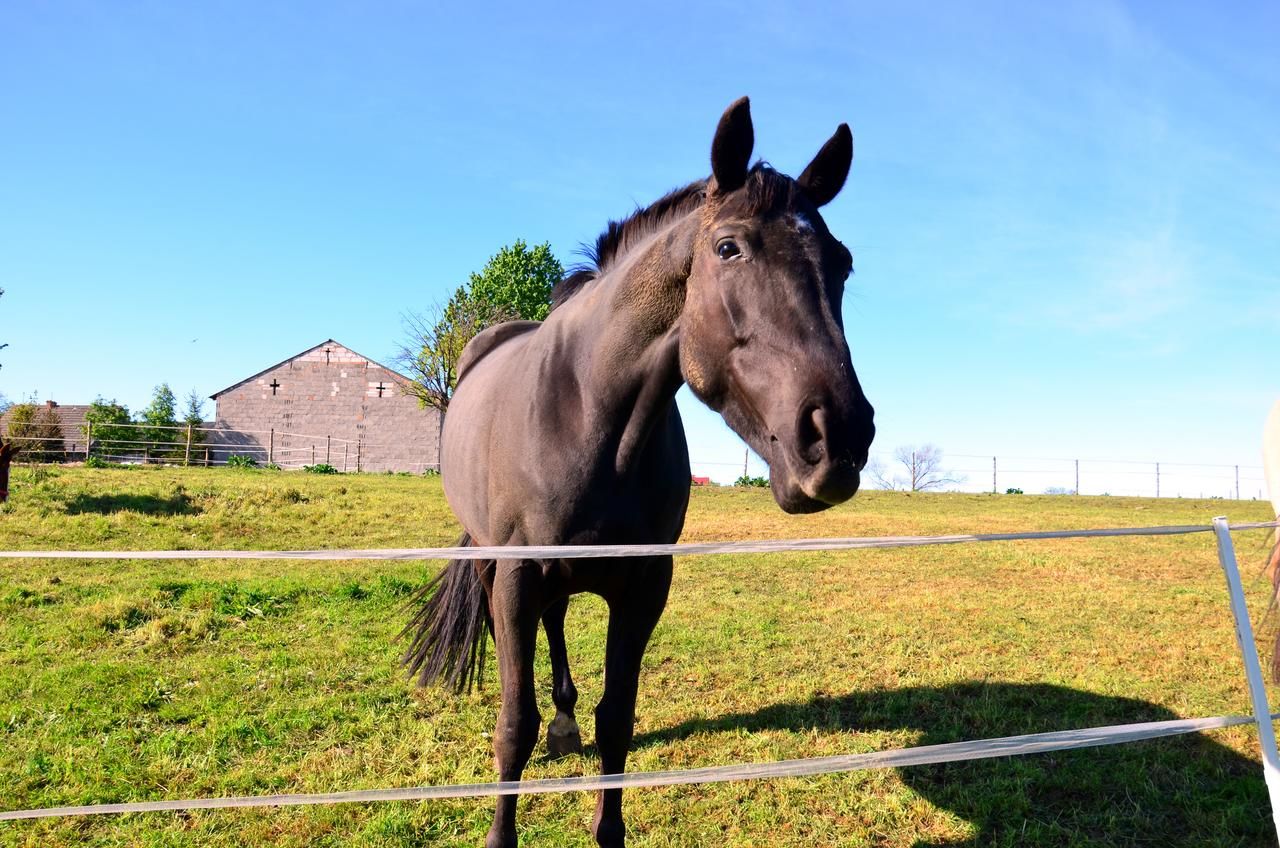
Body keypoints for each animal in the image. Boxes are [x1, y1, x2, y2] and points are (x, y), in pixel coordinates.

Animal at [404, 97, 875, 845]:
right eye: (728, 247)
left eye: (844, 263)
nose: (840, 435)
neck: (587, 412)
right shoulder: (516, 577)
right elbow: (513, 725)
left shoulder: (644, 586)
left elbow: (616, 723)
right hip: (487, 560)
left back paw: (566, 722)